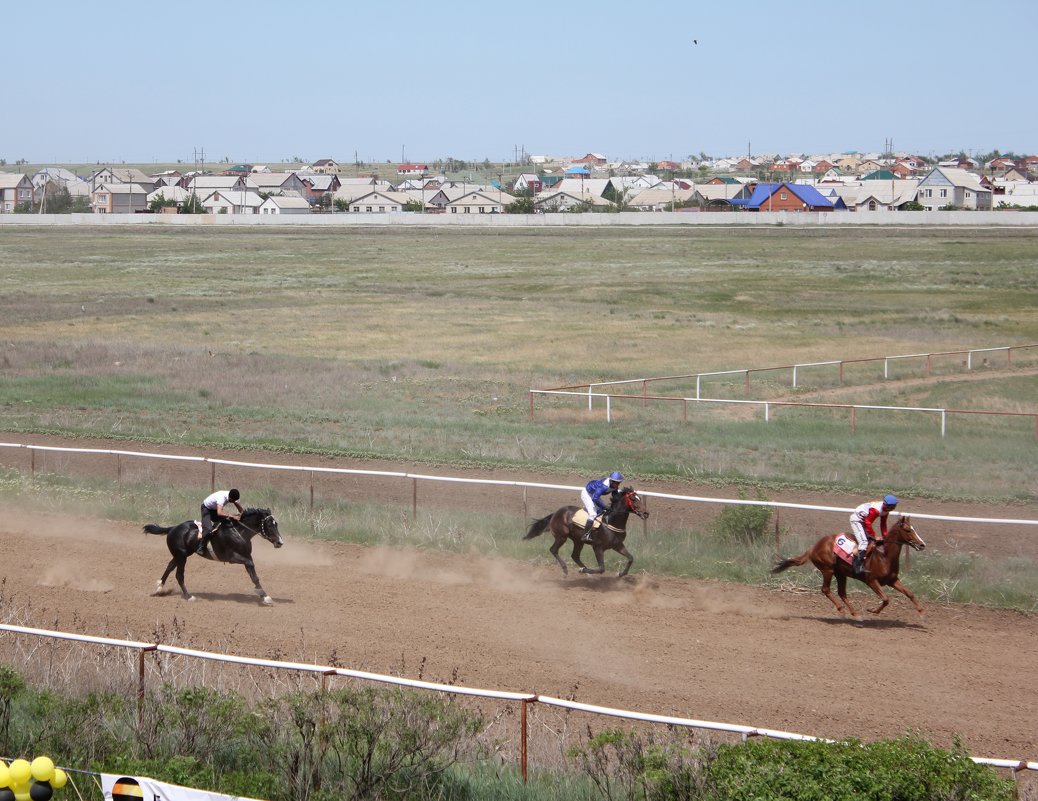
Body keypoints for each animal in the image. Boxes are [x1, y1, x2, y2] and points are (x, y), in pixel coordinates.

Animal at [144, 510, 284, 605]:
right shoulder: (233, 558)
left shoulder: (245, 556)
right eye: (269, 525)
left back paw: (159, 588)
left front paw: (264, 596)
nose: (280, 542)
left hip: (180, 555)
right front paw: (262, 594)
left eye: (276, 524)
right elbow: (251, 566)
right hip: (182, 556)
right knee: (179, 575)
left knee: (169, 567)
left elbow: (254, 576)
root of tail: (173, 528)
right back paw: (189, 596)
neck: (239, 533)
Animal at [772, 512, 925, 618]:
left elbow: (910, 593)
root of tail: (813, 547)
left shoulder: (892, 580)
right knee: (826, 590)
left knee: (842, 593)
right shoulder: (871, 581)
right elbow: (886, 599)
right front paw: (872, 610)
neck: (884, 559)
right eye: (908, 530)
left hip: (840, 573)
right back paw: (843, 610)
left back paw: (855, 613)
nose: (922, 544)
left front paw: (922, 612)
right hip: (827, 569)